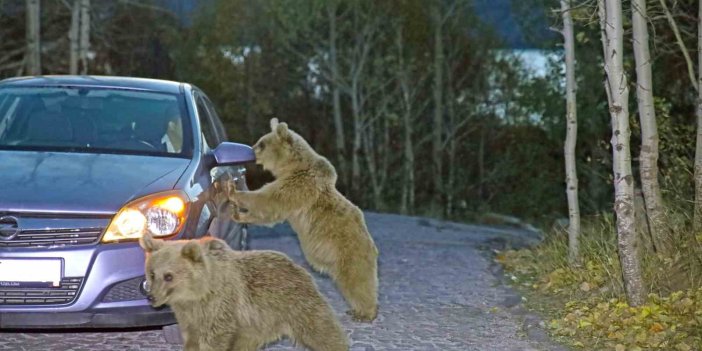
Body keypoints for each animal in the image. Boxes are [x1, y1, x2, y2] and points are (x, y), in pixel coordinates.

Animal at [140, 234, 350, 351]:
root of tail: (298, 266)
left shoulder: (220, 307)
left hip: (296, 304)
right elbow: (191, 339)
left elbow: (213, 340)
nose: (151, 296)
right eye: (152, 273)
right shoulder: (189, 316)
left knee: (322, 331)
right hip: (257, 324)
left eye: (168, 276)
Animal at [230, 119, 380, 324]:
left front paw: (233, 194)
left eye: (261, 144)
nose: (250, 152)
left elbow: (268, 201)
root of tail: (372, 246)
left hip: (350, 252)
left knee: (357, 281)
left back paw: (365, 313)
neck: (291, 167)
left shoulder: (297, 186)